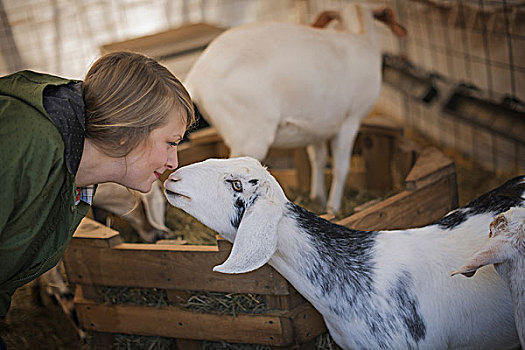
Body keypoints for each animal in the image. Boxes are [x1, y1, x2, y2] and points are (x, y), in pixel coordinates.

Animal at [184, 5, 406, 213]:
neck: (360, 37)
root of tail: (195, 77)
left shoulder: (317, 126)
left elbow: (318, 159)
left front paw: (319, 199)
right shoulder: (350, 120)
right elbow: (341, 166)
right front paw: (333, 208)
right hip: (249, 135)